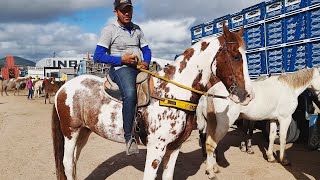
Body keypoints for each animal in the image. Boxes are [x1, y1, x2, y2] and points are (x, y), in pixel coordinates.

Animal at [52, 24, 252, 180]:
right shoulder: (157, 147)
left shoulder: (174, 147)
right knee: (68, 163)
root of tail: (63, 88)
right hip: (70, 132)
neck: (171, 94)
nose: (248, 95)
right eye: (235, 56)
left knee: (74, 162)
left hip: (83, 133)